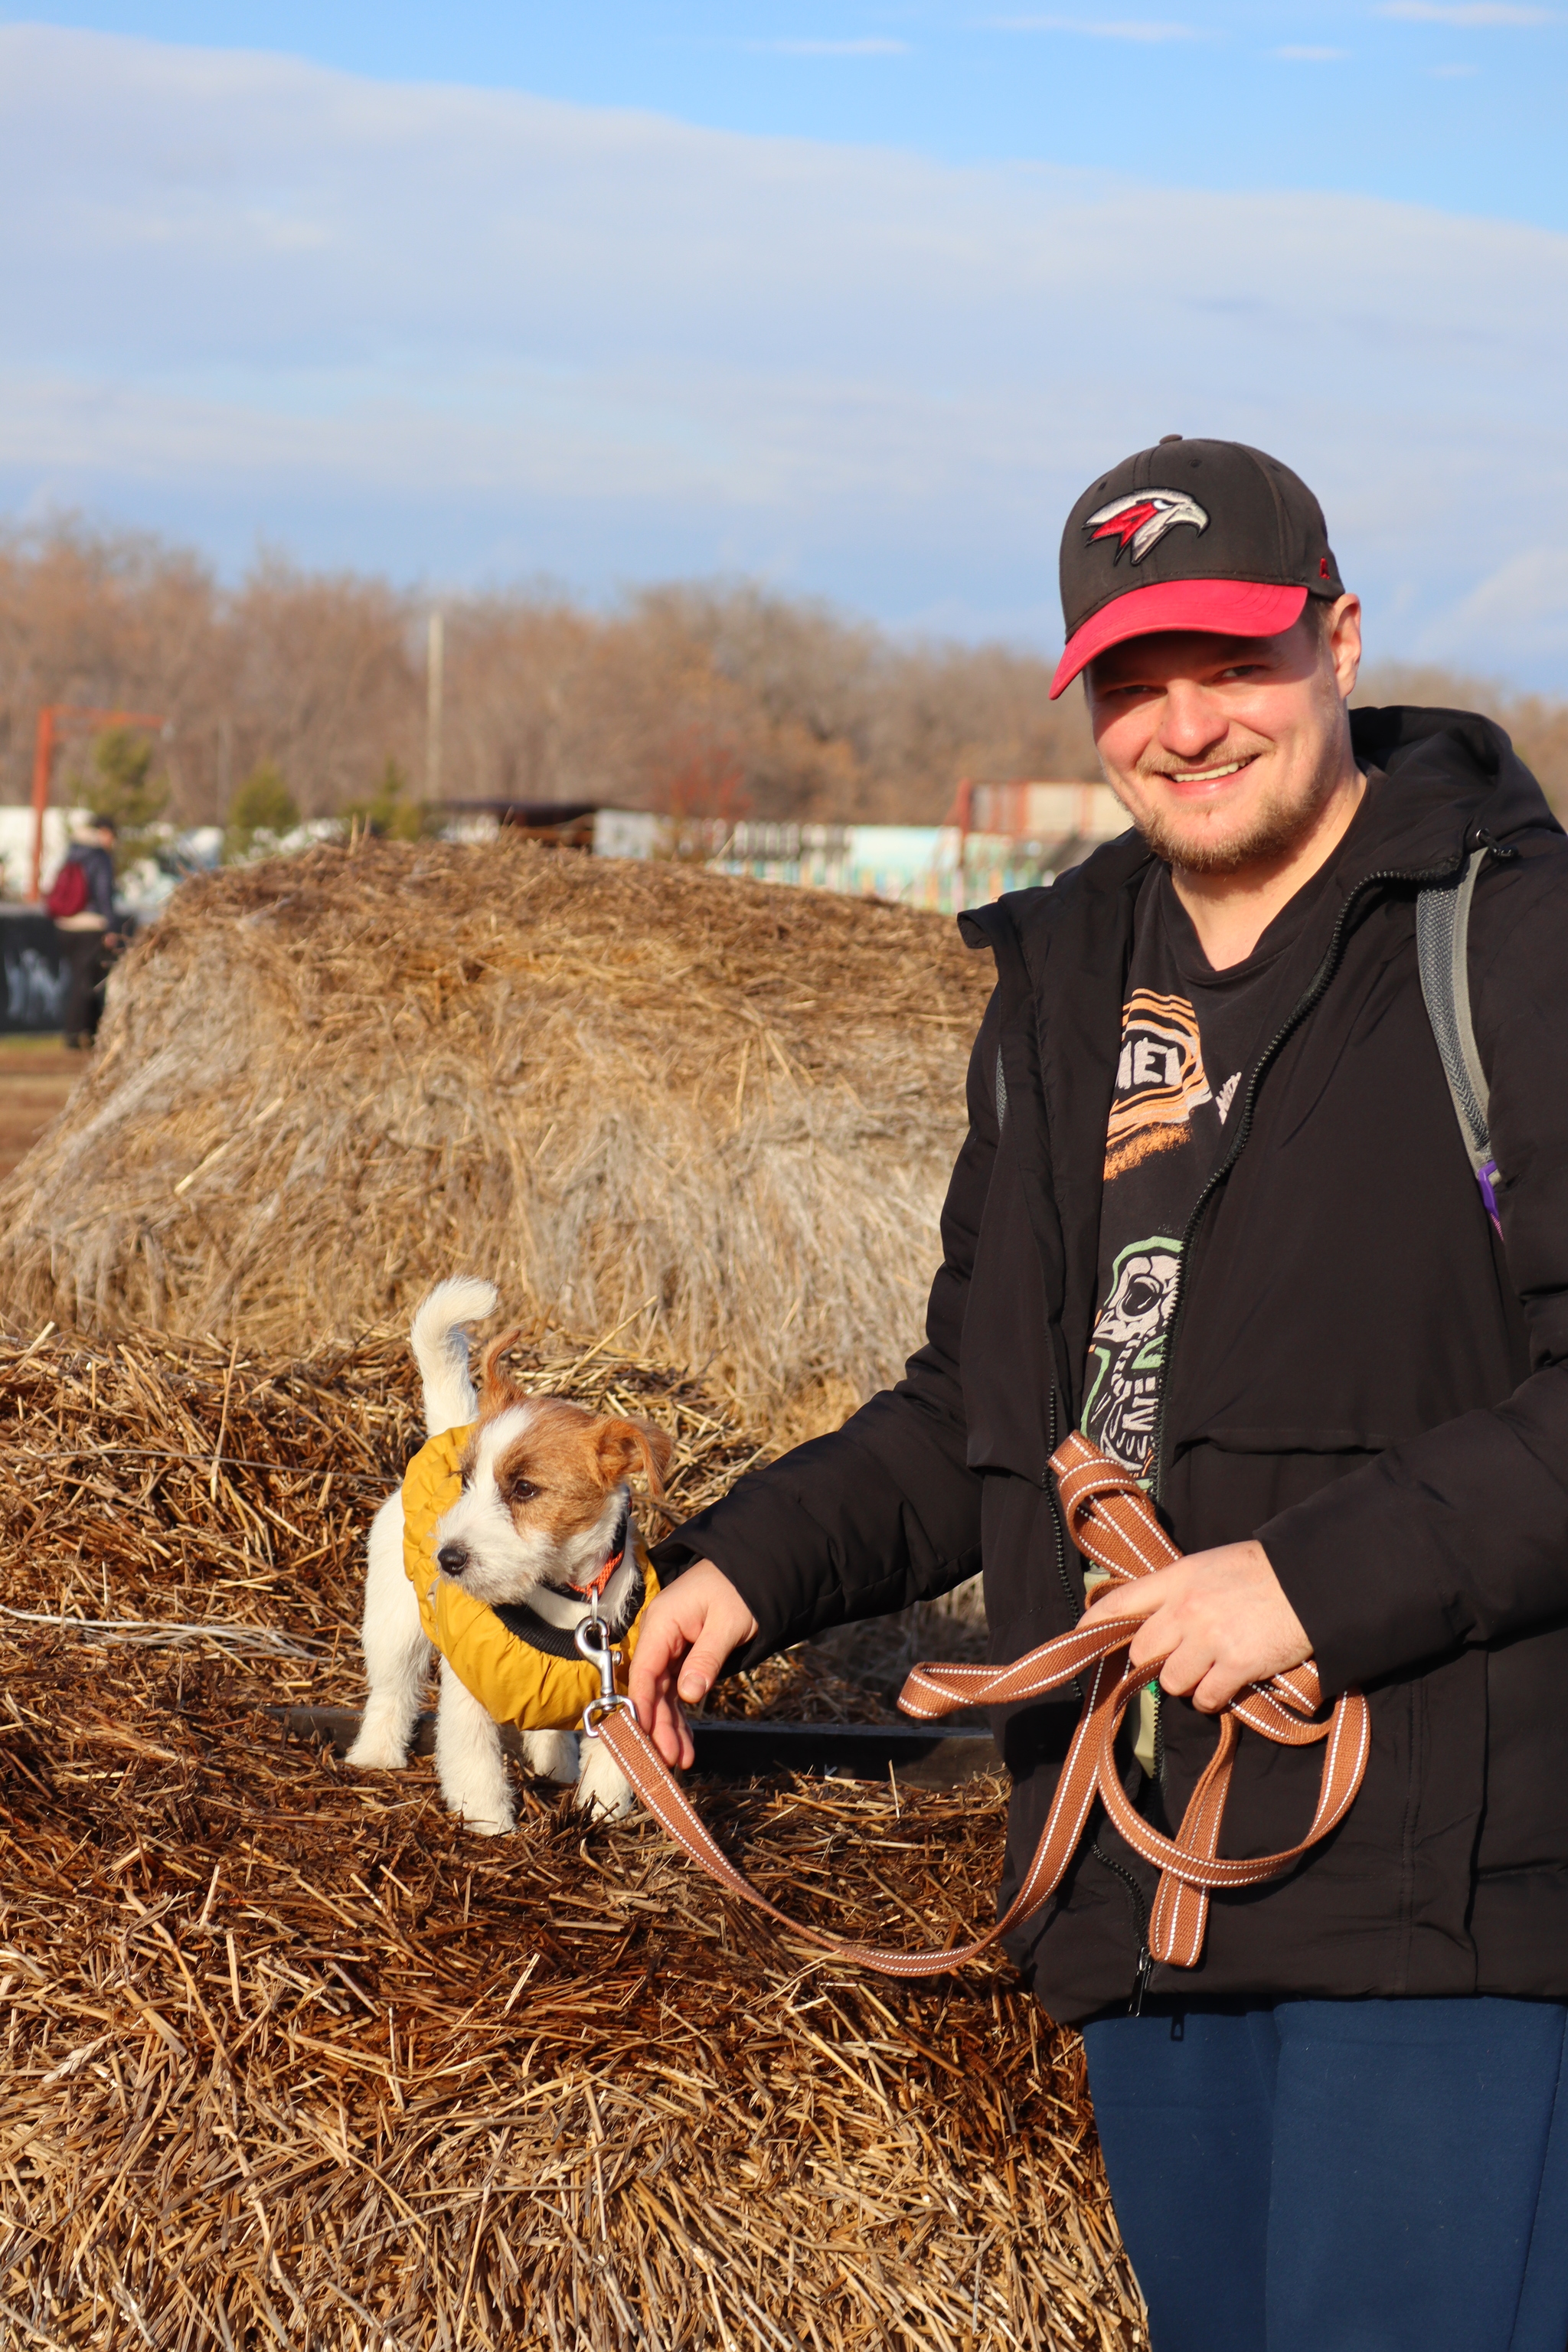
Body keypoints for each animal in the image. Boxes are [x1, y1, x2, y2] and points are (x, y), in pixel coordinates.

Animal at [345, 1269, 672, 1834]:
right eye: (466, 1480)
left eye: (524, 1489)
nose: (448, 1560)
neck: (564, 1597)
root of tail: (449, 1429)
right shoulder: (469, 1689)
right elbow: (474, 1761)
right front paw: (492, 1826)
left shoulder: (621, 1694)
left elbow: (615, 1766)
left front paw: (599, 1814)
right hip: (394, 1625)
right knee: (391, 1692)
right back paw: (375, 1757)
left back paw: (555, 1765)